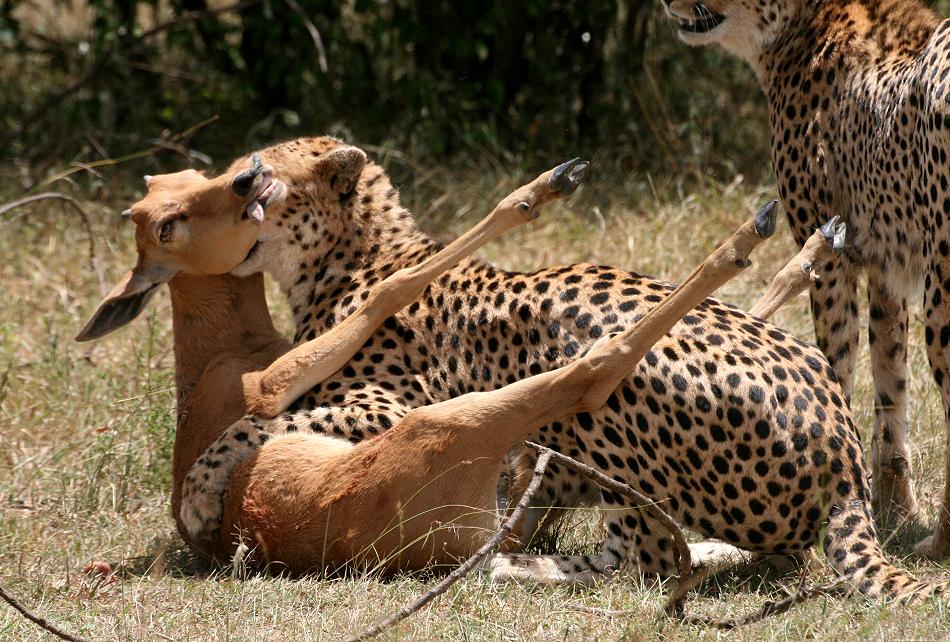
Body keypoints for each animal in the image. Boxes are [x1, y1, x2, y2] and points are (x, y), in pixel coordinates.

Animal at [117, 136, 944, 600]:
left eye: (256, 178)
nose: (242, 184)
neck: (356, 253)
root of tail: (845, 462)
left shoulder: (390, 407)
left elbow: (266, 419)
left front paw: (201, 493)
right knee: (665, 552)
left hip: (604, 404)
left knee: (649, 559)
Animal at [660, 0, 950, 556]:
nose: (668, 4)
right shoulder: (883, 263)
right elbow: (890, 381)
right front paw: (896, 511)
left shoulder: (829, 255)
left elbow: (836, 364)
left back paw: (942, 543)